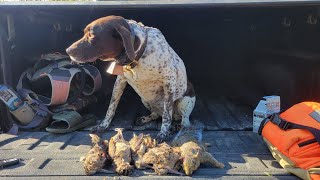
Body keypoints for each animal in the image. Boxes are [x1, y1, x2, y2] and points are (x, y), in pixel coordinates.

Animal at [66, 15, 196, 142]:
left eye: (91, 35)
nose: (68, 51)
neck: (137, 59)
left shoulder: (169, 82)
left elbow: (167, 115)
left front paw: (163, 133)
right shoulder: (120, 81)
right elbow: (111, 107)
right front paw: (104, 125)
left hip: (185, 100)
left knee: (184, 121)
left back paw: (178, 125)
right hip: (146, 100)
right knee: (156, 114)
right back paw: (145, 119)